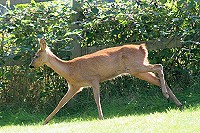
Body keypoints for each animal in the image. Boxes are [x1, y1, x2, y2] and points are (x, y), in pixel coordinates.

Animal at [30, 38, 183, 124]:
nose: (31, 65)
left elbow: (97, 99)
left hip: (136, 66)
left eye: (36, 55)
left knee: (159, 66)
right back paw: (177, 103)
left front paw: (101, 117)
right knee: (158, 78)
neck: (70, 70)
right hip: (137, 70)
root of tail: (142, 48)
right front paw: (45, 121)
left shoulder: (94, 78)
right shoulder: (74, 87)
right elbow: (61, 103)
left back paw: (167, 96)